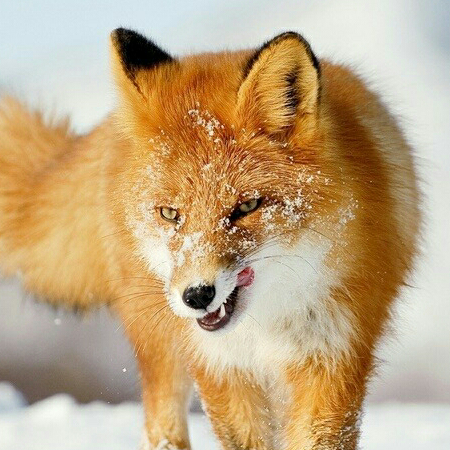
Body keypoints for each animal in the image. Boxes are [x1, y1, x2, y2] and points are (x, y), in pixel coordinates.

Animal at [0, 29, 422, 450]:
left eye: (246, 206)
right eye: (170, 214)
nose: (197, 296)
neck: (264, 324)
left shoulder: (333, 357)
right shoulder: (219, 365)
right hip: (159, 338)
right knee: (160, 424)